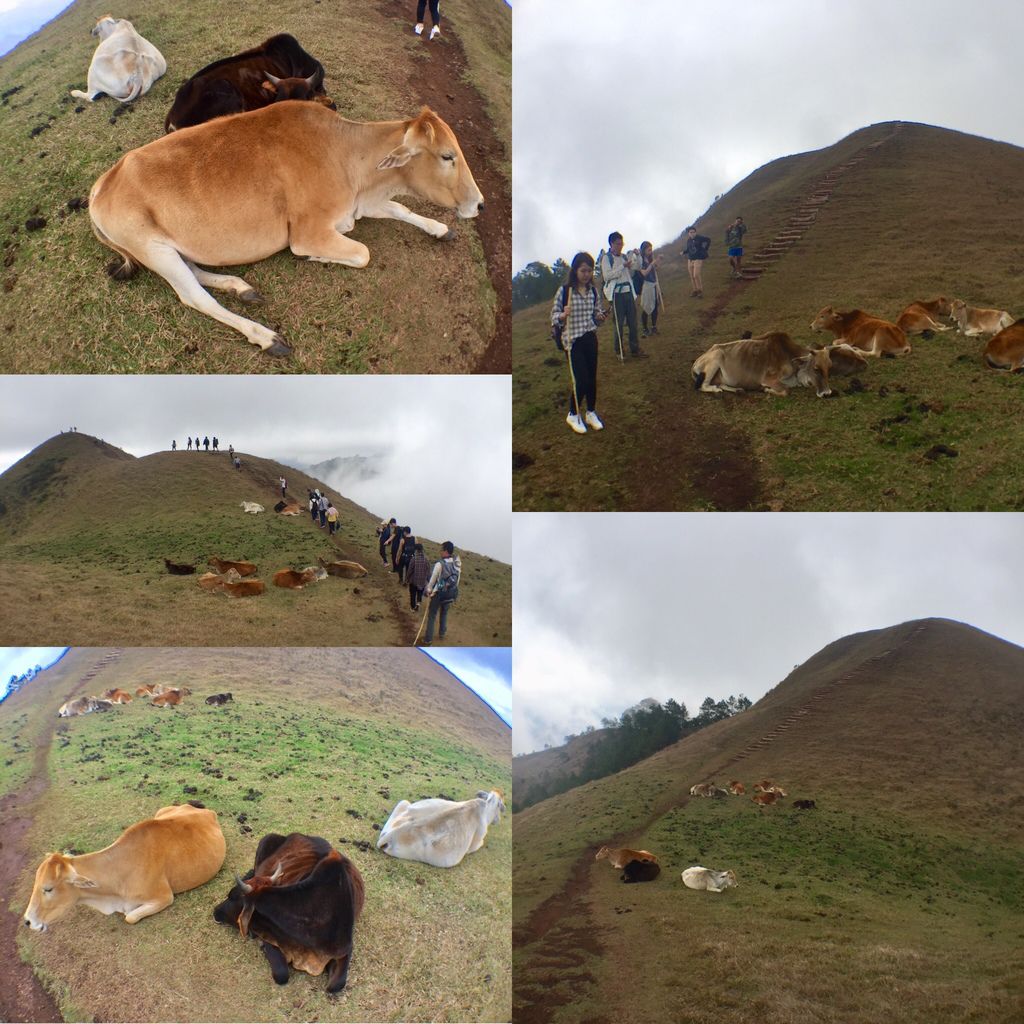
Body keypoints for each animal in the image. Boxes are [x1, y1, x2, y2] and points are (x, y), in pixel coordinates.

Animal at [88, 100, 483, 356]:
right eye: (447, 156)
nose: (479, 203)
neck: (348, 157)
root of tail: (101, 184)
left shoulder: (361, 203)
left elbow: (400, 207)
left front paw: (439, 228)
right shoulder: (309, 232)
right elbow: (362, 253)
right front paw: (316, 259)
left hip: (170, 248)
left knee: (197, 271)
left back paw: (241, 287)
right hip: (152, 248)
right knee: (194, 296)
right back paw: (265, 336)